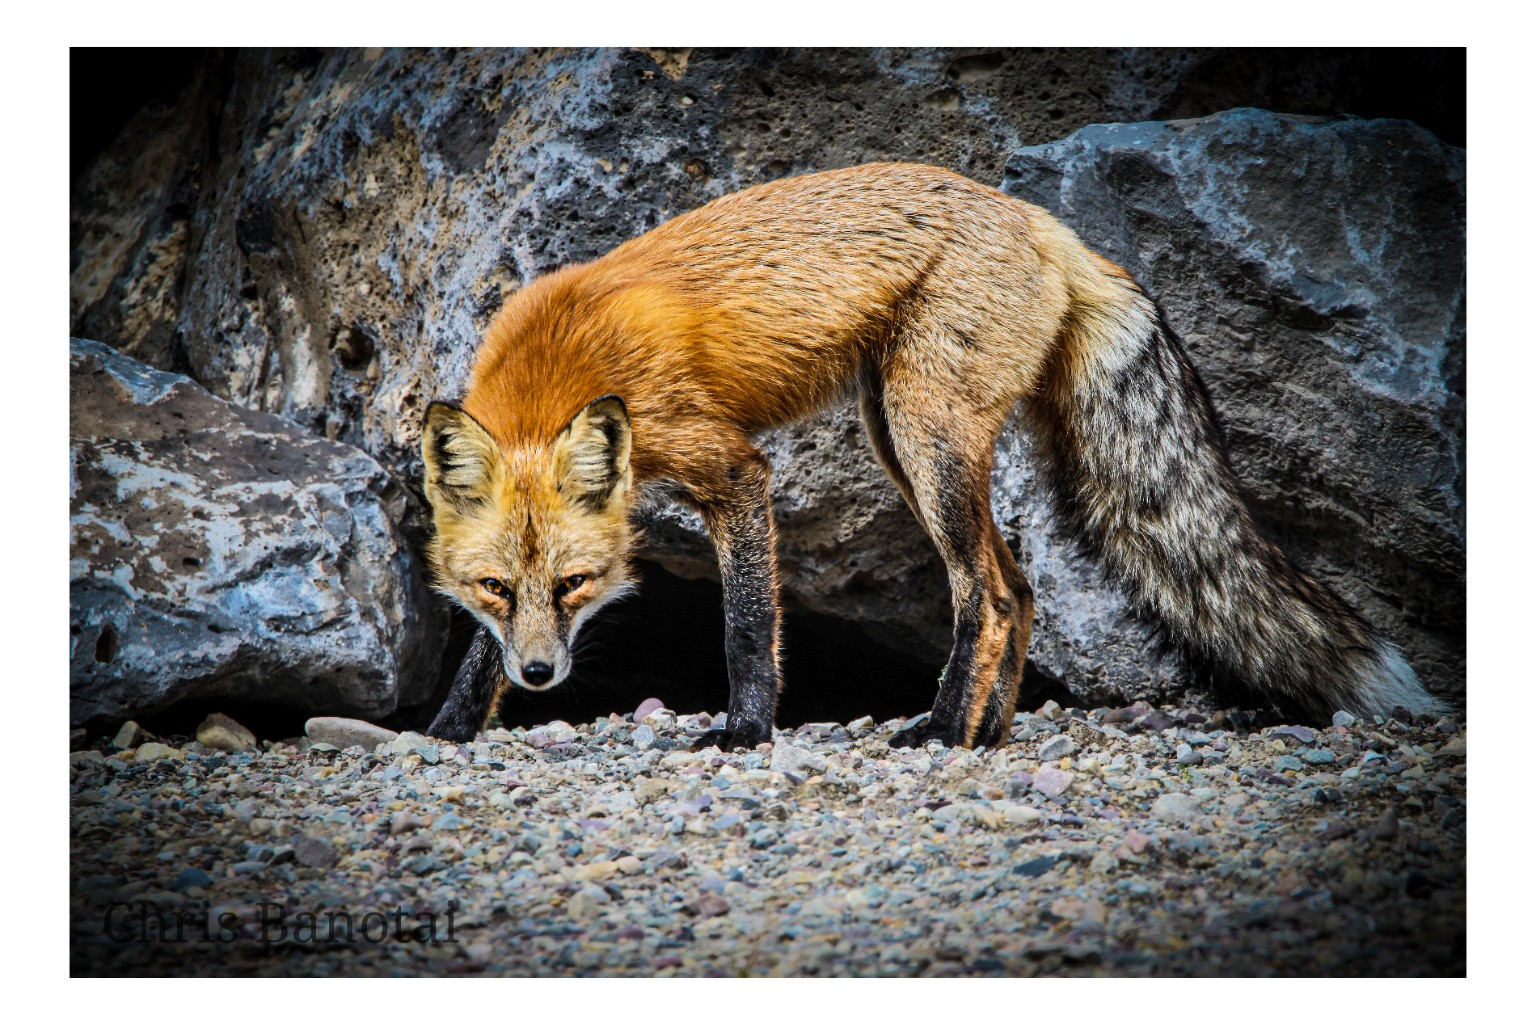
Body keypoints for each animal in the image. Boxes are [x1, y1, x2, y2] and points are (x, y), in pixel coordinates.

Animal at [420, 161, 1442, 750]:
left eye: (578, 585)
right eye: (495, 588)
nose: (541, 678)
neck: (563, 364)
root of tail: (1038, 219)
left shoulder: (733, 467)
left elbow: (748, 624)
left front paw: (746, 730)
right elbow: (474, 657)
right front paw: (449, 727)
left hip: (926, 436)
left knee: (985, 594)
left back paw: (945, 728)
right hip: (897, 439)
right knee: (1018, 588)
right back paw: (986, 734)